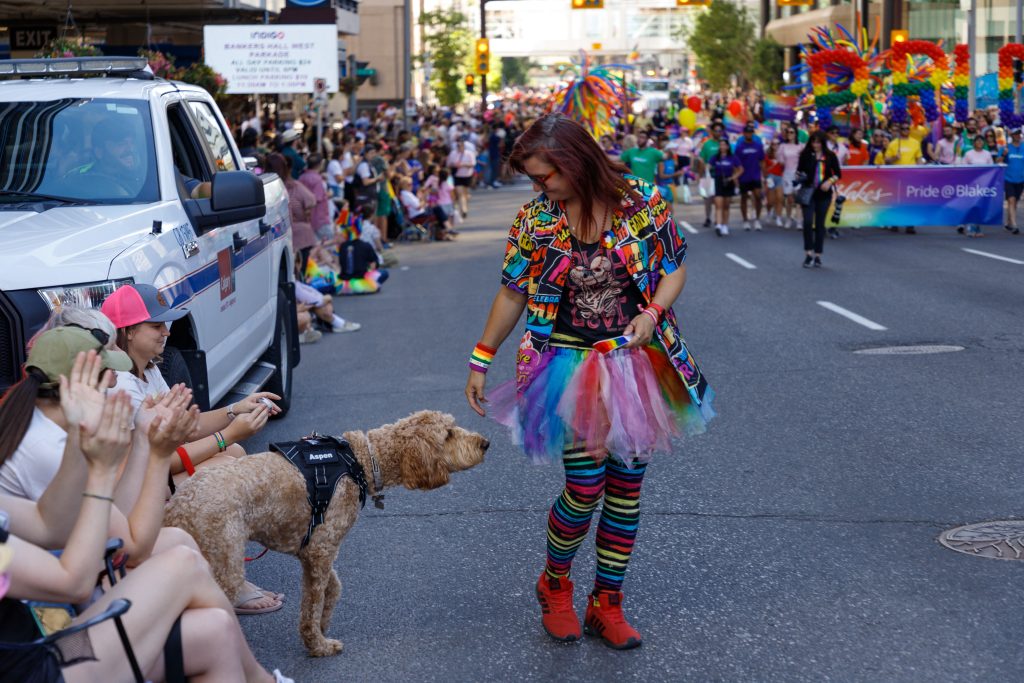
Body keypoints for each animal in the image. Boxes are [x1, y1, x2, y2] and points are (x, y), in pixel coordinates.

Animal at [162, 411, 487, 655]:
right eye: (448, 434)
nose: (485, 443)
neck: (361, 460)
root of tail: (177, 505)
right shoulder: (321, 551)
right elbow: (314, 602)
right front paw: (318, 644)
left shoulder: (317, 549)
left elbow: (331, 589)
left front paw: (323, 625)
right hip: (222, 564)